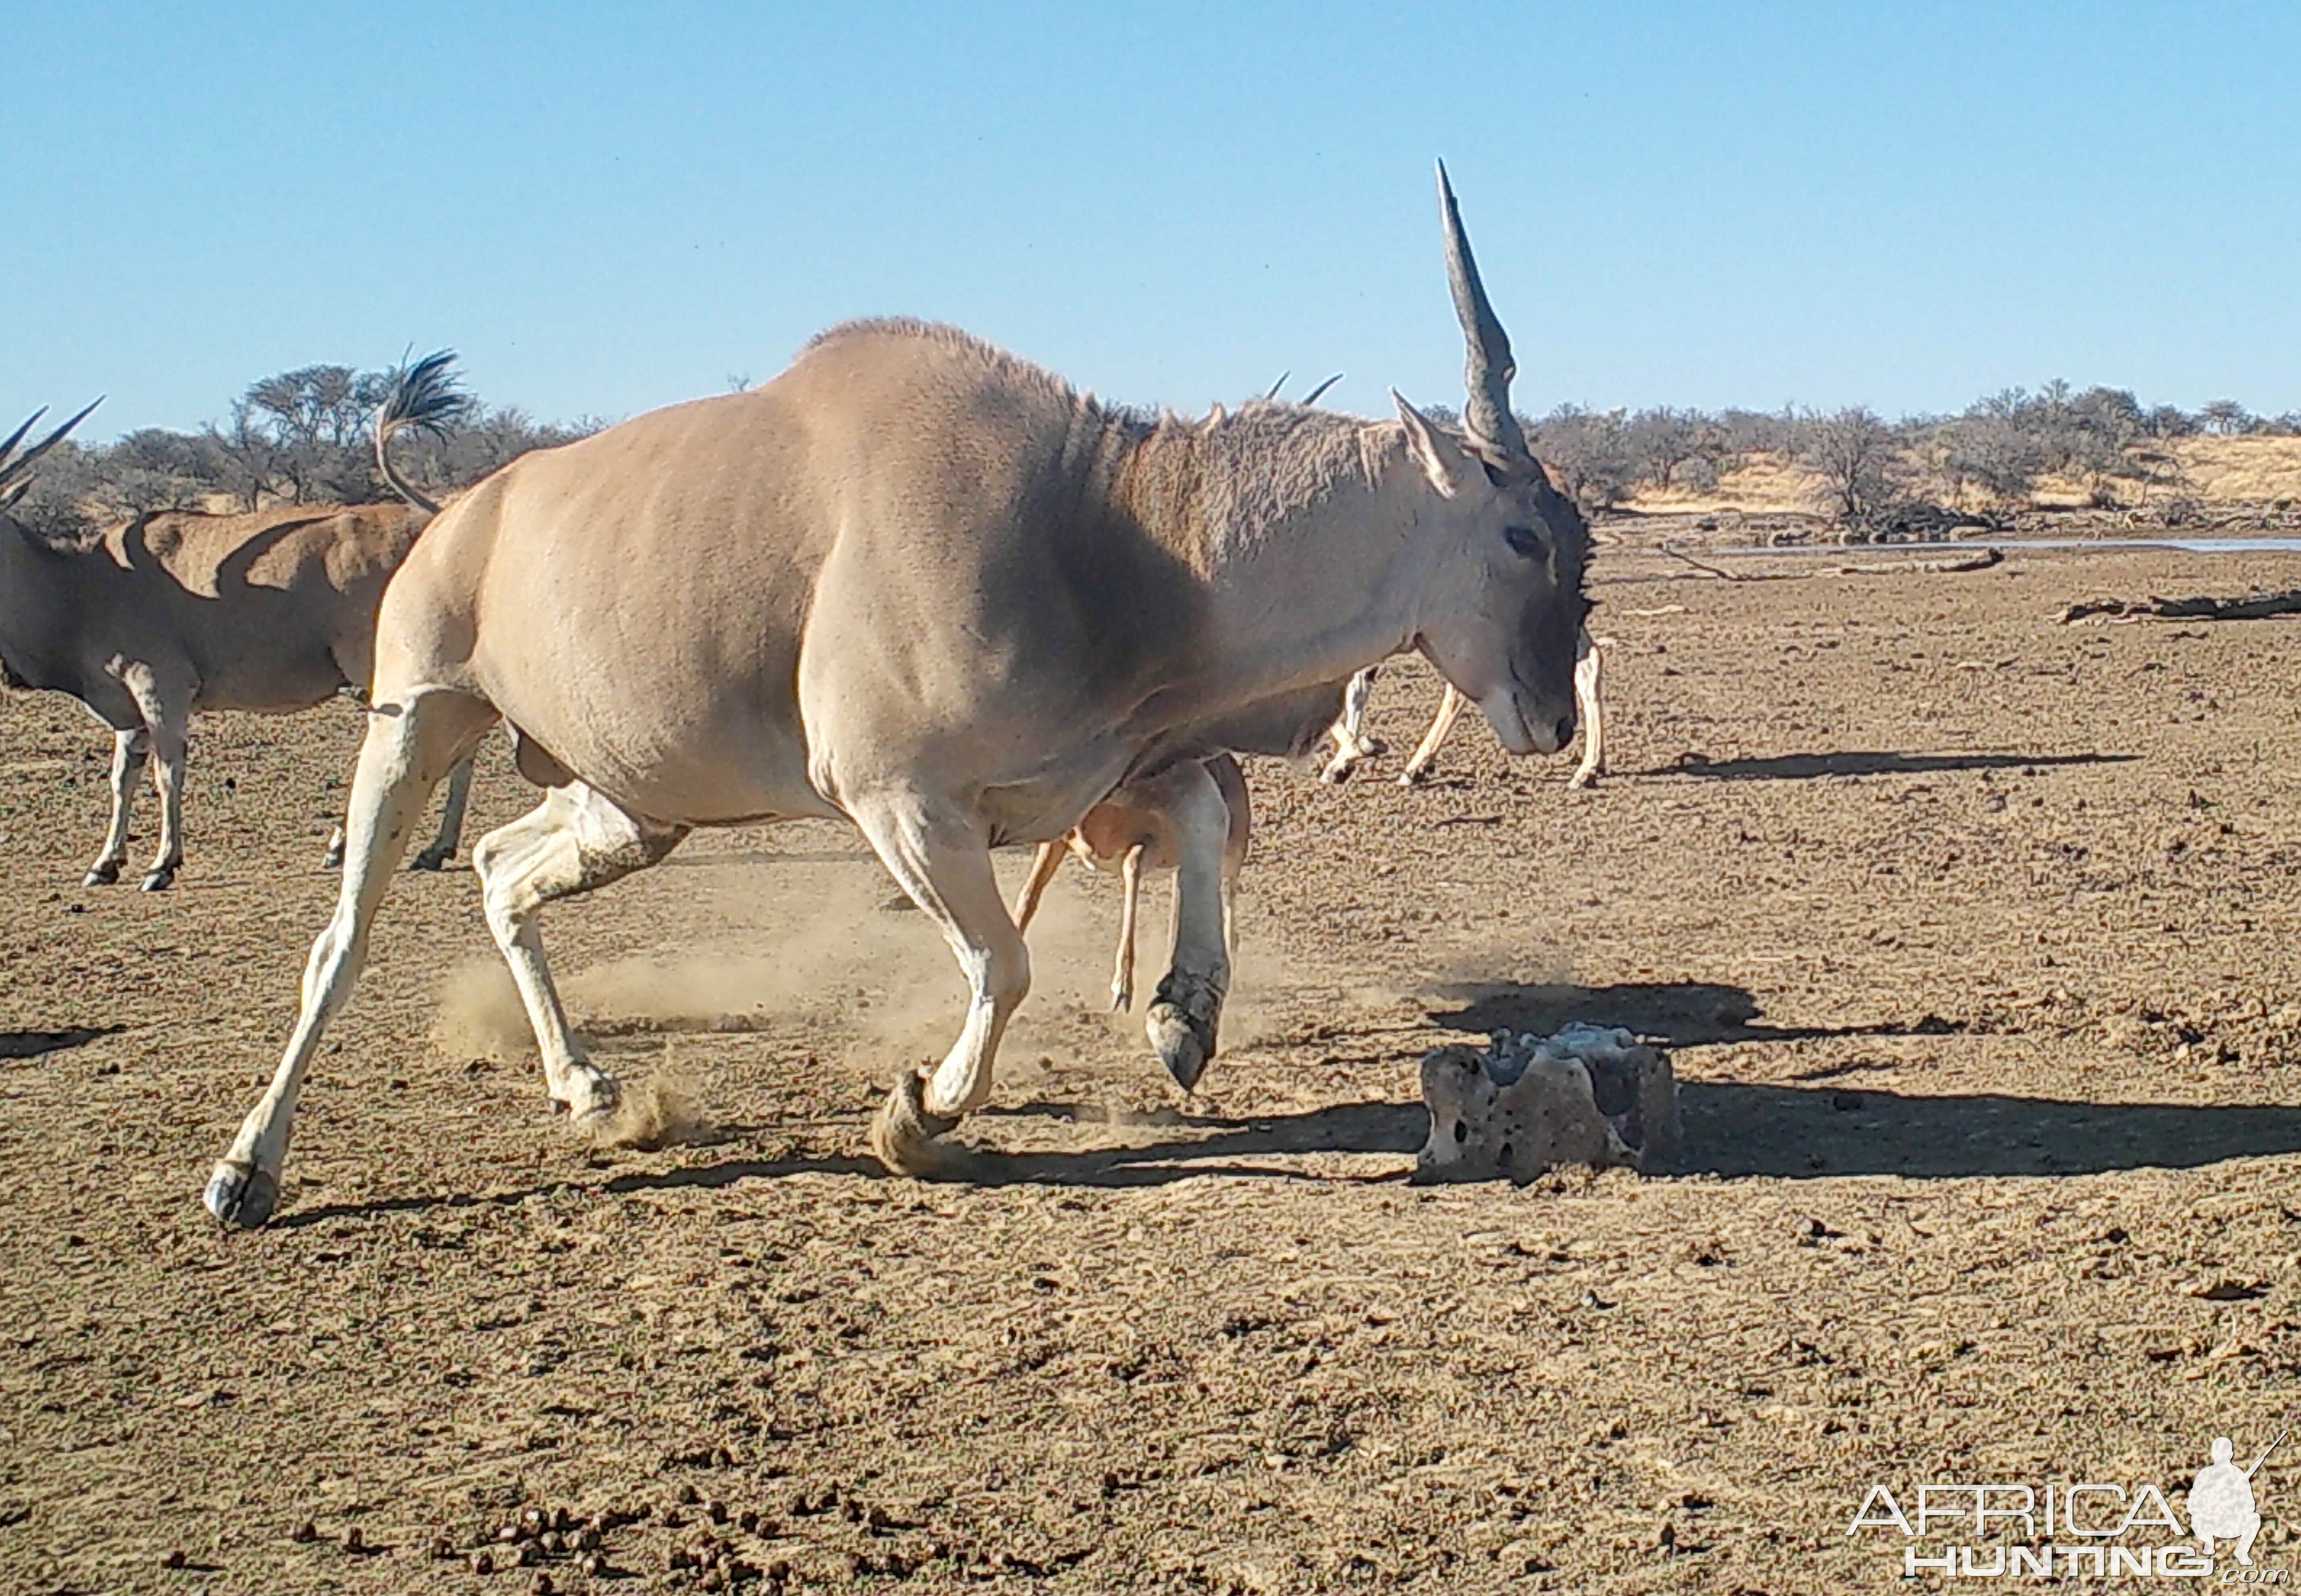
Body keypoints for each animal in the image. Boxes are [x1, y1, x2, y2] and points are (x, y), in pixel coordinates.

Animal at [0, 358, 476, 887]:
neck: (84, 585)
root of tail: (438, 522)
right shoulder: (130, 709)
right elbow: (123, 777)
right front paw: (105, 864)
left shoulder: (161, 689)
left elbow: (168, 772)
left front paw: (162, 864)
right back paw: (430, 847)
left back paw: (378, 845)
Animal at [207, 169, 1592, 1233]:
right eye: (1523, 532)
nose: (1555, 716)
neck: (1111, 525)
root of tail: (460, 510)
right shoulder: (900, 803)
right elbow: (1003, 963)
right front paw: (920, 1112)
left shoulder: (1100, 773)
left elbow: (1196, 822)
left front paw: (1180, 1019)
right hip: (417, 724)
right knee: (342, 940)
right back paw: (247, 1171)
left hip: (634, 806)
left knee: (501, 868)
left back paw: (590, 1090)